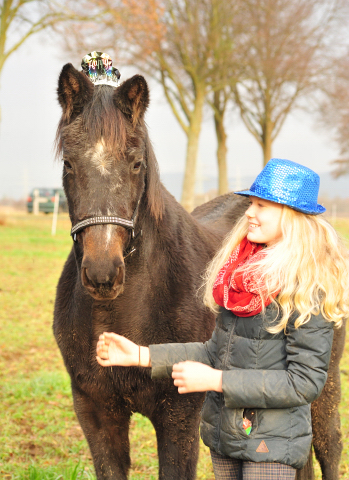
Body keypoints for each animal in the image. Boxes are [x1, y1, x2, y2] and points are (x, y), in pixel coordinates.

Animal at [53, 64, 344, 480]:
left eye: (136, 163)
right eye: (69, 163)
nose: (103, 273)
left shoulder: (179, 419)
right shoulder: (97, 413)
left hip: (327, 383)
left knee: (327, 445)